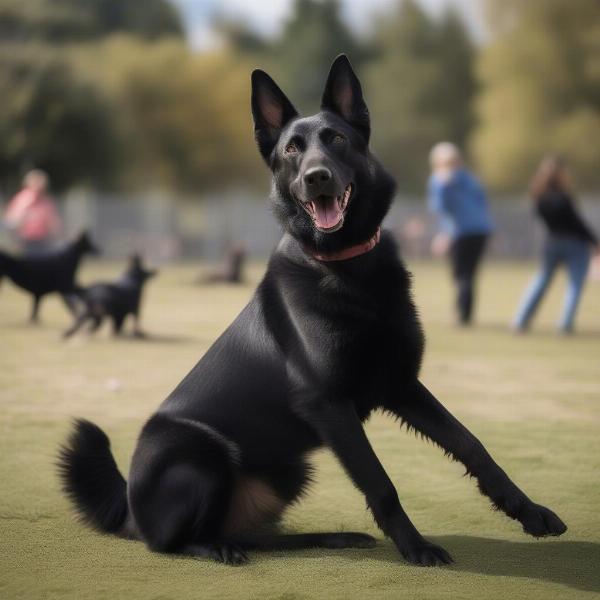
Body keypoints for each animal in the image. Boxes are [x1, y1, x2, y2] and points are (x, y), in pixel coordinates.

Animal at [57, 55, 568, 568]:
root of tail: (130, 507)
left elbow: (470, 444)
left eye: (336, 139)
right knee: (173, 543)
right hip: (198, 452)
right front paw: (416, 547)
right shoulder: (329, 404)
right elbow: (381, 483)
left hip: (291, 471)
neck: (348, 268)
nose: (316, 176)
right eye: (291, 149)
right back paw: (220, 548)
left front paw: (529, 512)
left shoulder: (400, 384)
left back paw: (333, 538)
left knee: (258, 537)